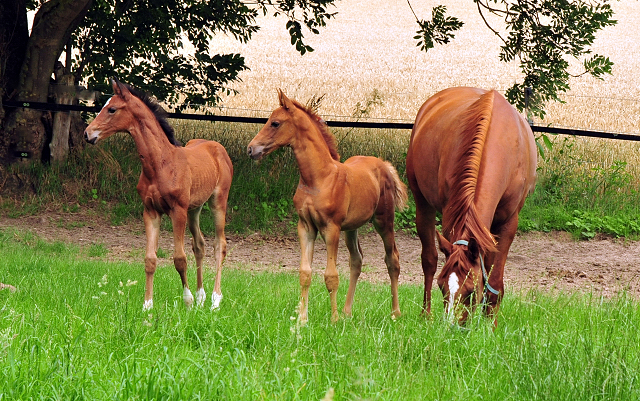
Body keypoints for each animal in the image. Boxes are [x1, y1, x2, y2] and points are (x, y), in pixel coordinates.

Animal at [84, 78, 234, 310]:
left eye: (112, 109)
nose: (88, 134)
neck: (161, 164)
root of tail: (218, 148)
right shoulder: (150, 211)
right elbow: (150, 260)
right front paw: (147, 305)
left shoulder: (177, 211)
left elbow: (179, 258)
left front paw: (187, 301)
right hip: (195, 208)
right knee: (199, 244)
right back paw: (201, 296)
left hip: (218, 202)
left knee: (220, 245)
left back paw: (215, 300)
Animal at [408, 86, 536, 324]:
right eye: (442, 286)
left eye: (470, 291)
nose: (451, 327)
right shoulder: (450, 217)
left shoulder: (508, 223)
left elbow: (494, 282)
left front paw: (490, 325)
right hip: (422, 203)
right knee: (429, 260)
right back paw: (425, 315)